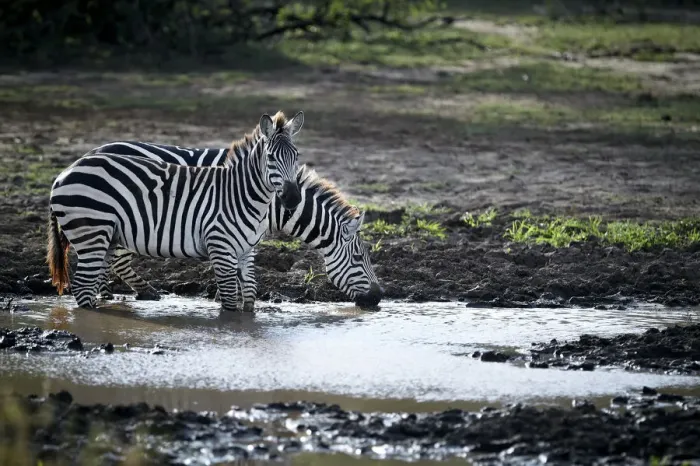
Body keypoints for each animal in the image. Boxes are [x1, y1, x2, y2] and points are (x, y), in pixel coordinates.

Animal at [47, 111, 304, 312]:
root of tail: (63, 174)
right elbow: (230, 302)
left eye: (297, 156)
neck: (240, 194)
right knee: (83, 286)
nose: (293, 198)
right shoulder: (220, 247)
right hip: (92, 233)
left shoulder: (247, 251)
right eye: (270, 158)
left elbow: (249, 298)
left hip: (106, 237)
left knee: (91, 284)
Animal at [83, 142, 383, 307]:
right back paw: (138, 292)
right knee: (115, 259)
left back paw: (107, 293)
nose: (379, 297)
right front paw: (224, 297)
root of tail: (96, 149)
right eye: (359, 258)